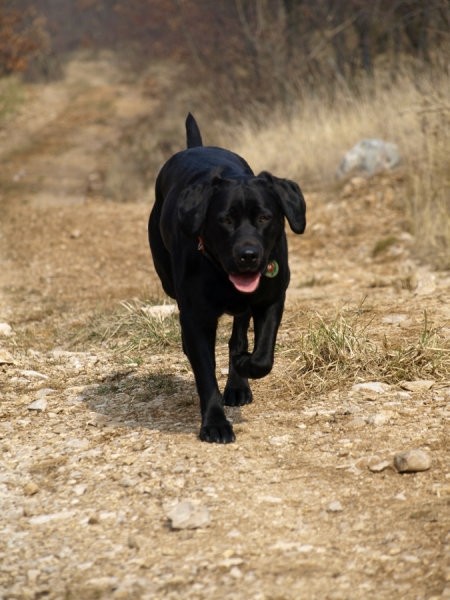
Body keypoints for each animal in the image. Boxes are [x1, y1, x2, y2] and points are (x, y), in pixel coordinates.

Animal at [149, 113, 306, 440]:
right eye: (225, 220)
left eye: (264, 217)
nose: (248, 255)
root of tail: (196, 146)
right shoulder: (196, 317)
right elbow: (205, 374)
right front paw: (215, 423)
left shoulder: (272, 299)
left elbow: (262, 356)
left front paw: (245, 366)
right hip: (168, 281)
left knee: (238, 337)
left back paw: (237, 383)